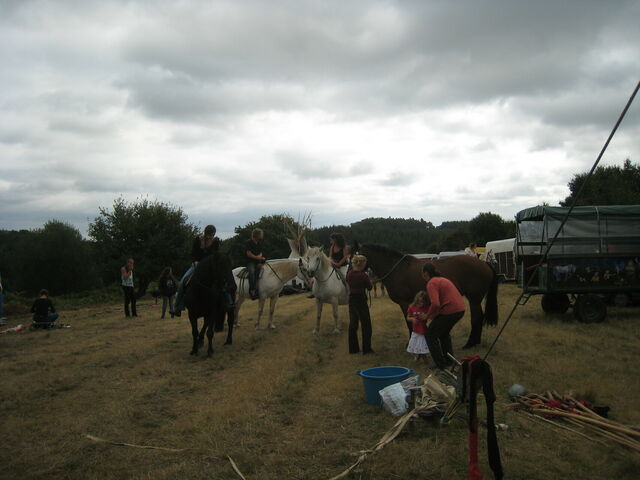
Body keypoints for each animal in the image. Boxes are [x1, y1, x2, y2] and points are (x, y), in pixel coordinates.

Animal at [353, 242, 498, 349]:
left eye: (355, 258)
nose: (352, 270)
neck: (397, 269)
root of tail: (484, 263)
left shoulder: (404, 302)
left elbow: (409, 322)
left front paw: (410, 342)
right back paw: (475, 342)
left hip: (474, 299)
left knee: (476, 318)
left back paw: (470, 343)